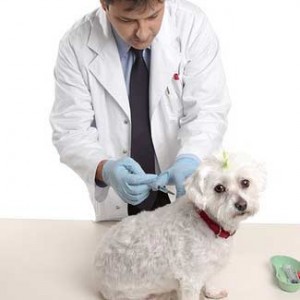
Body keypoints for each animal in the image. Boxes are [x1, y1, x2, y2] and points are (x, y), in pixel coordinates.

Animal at [94, 154, 264, 298]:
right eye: (219, 188)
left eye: (245, 182)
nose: (241, 204)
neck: (208, 222)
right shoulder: (190, 279)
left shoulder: (206, 267)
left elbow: (208, 280)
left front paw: (212, 292)